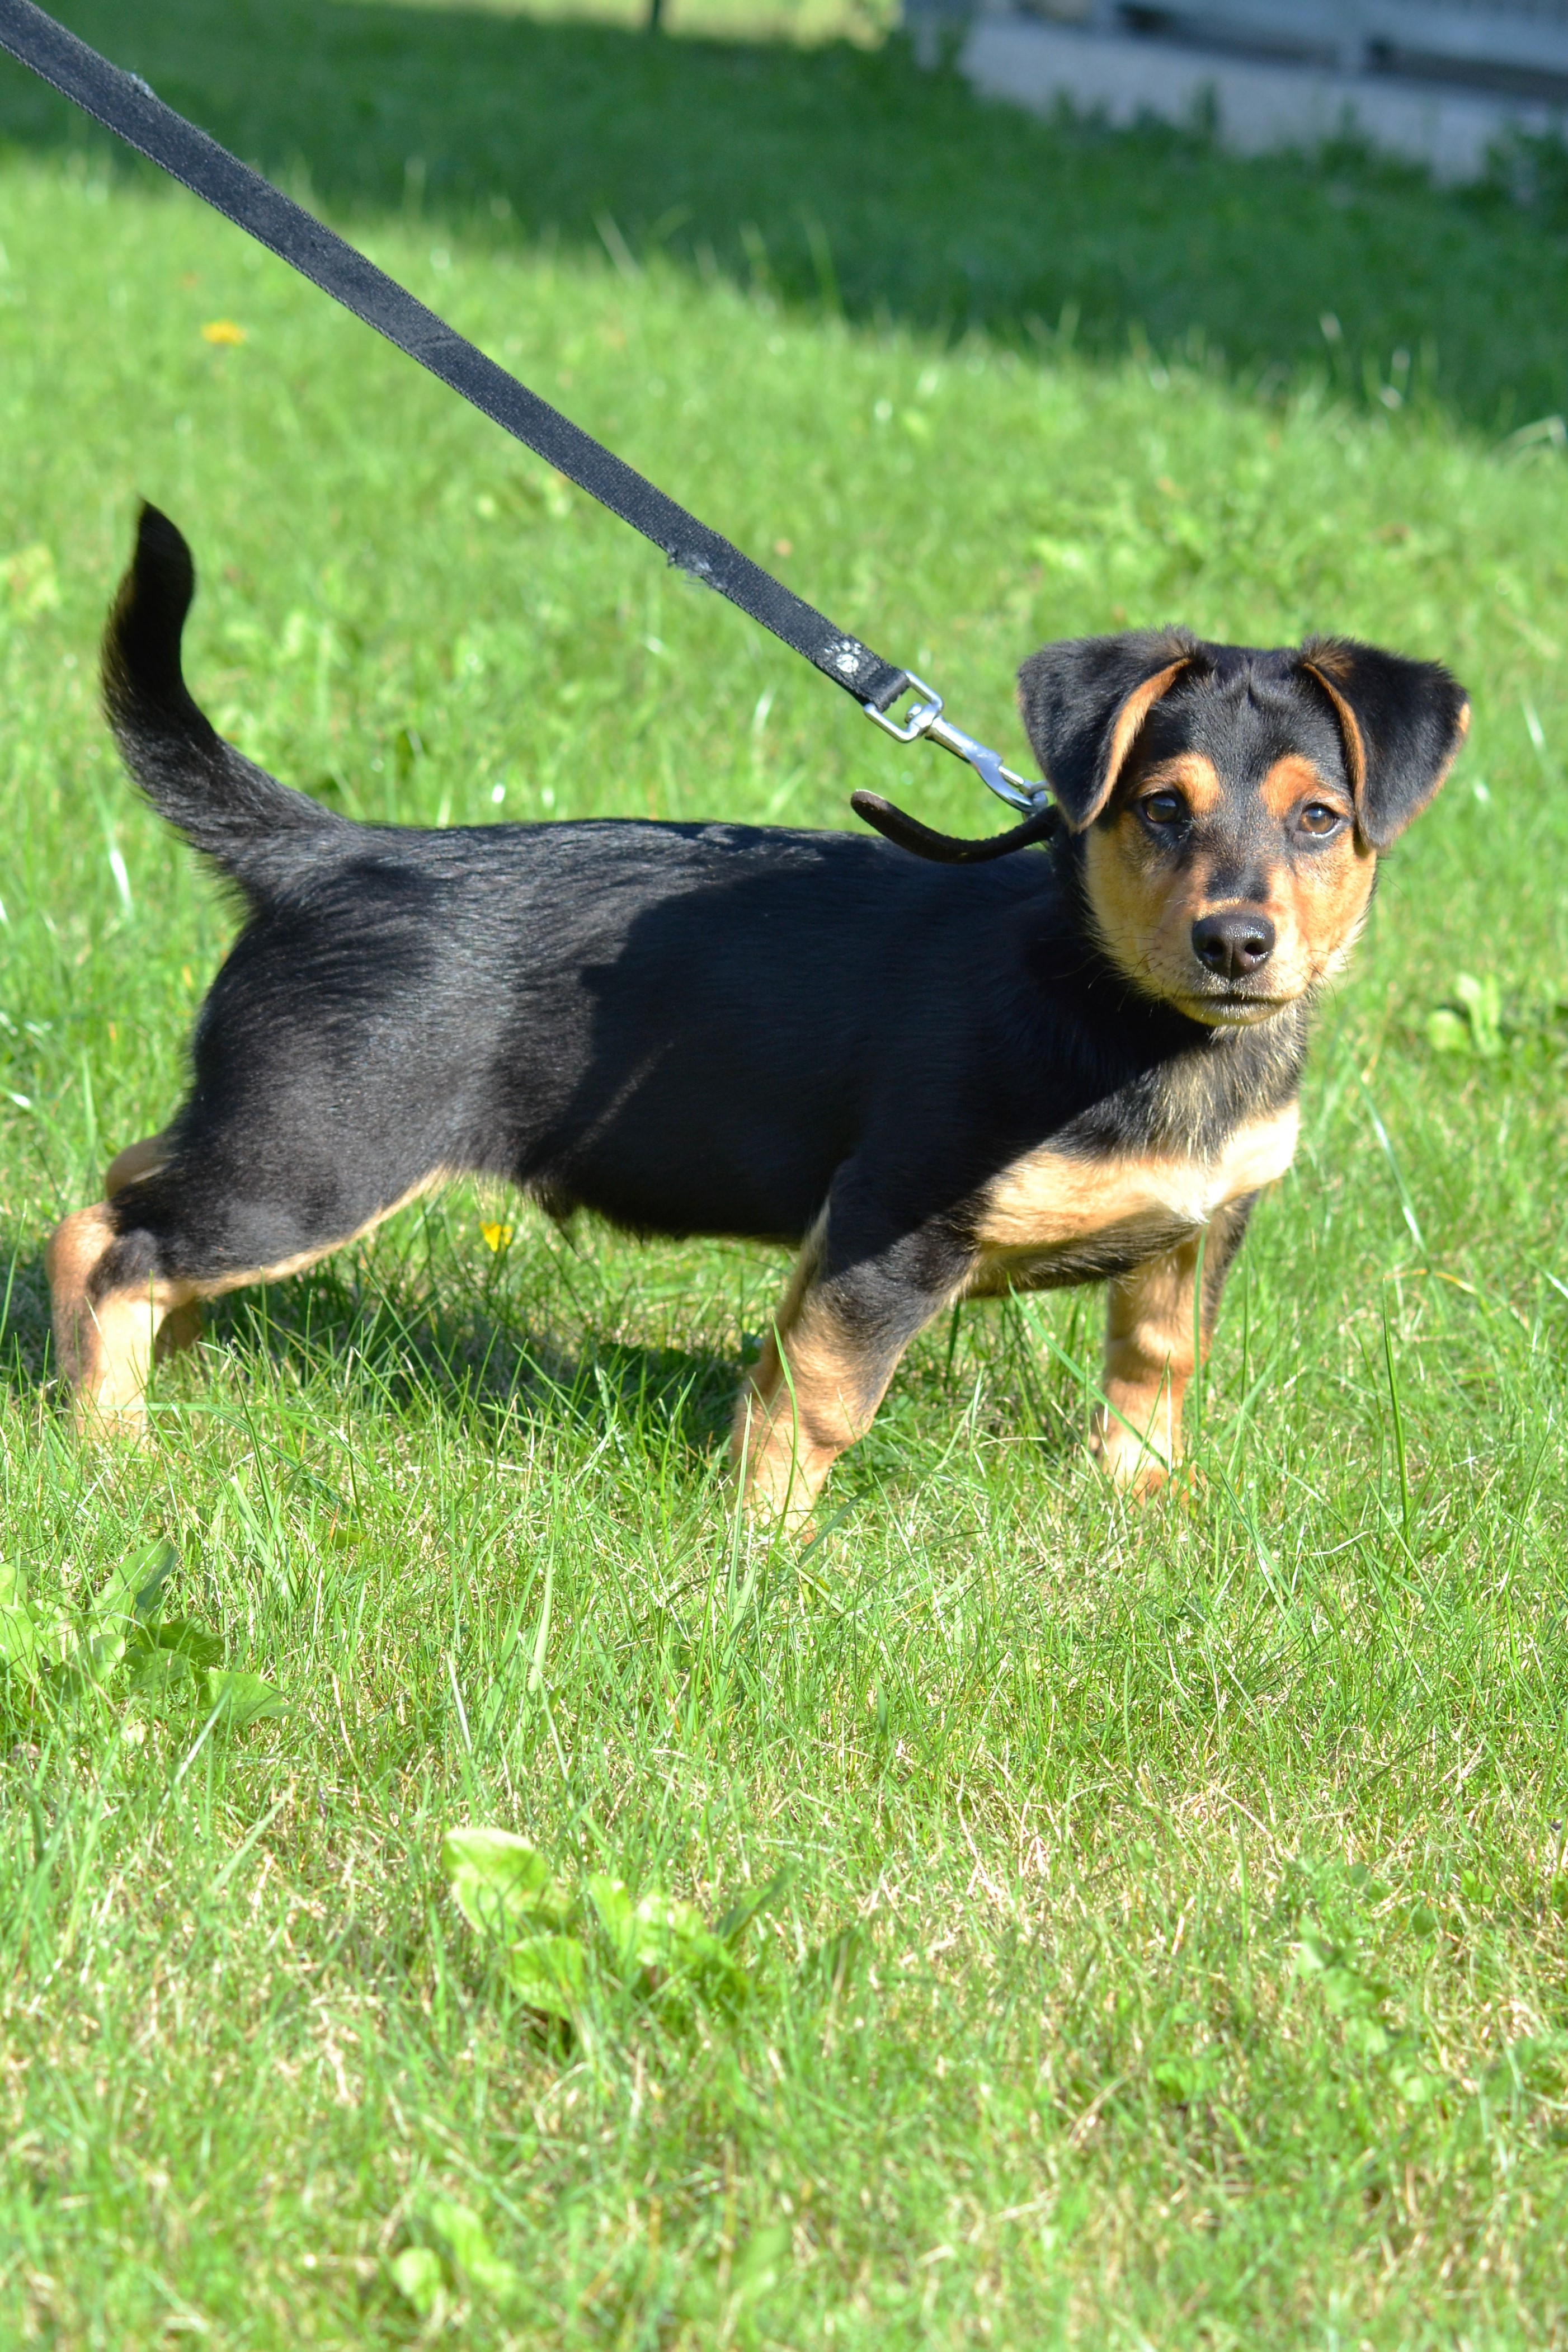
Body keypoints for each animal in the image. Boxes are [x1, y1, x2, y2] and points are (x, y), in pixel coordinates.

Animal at [47, 506, 1468, 1519]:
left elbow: (1156, 1365)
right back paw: (114, 1449)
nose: (1236, 941)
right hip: (322, 1156)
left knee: (129, 1188)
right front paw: (764, 1553)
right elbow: (822, 1396)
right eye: (1161, 808)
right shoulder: (893, 1224)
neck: (1133, 1015)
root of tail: (335, 853)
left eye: (1319, 818)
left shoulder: (1201, 1227)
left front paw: (1139, 1503)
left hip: (266, 1132)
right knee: (107, 1244)